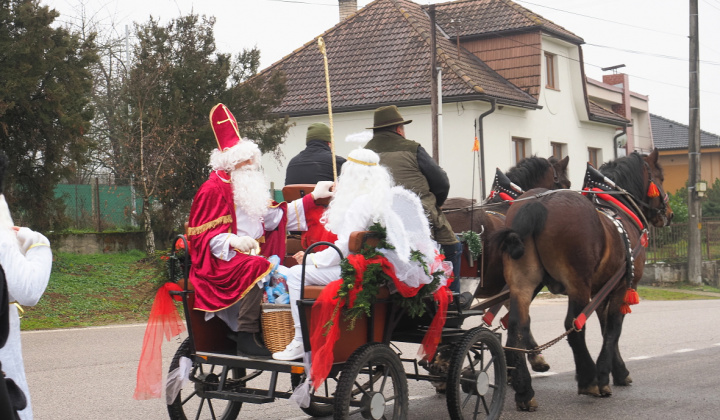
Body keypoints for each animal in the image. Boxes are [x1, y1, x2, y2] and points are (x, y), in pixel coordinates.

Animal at [498, 150, 672, 410]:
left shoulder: (601, 289)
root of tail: (538, 204)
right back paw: (589, 378)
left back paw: (524, 389)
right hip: (578, 285)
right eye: (660, 177)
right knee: (574, 326)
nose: (668, 214)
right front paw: (604, 376)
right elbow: (613, 329)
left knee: (518, 326)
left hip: (522, 284)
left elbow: (605, 328)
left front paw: (617, 370)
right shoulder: (622, 286)